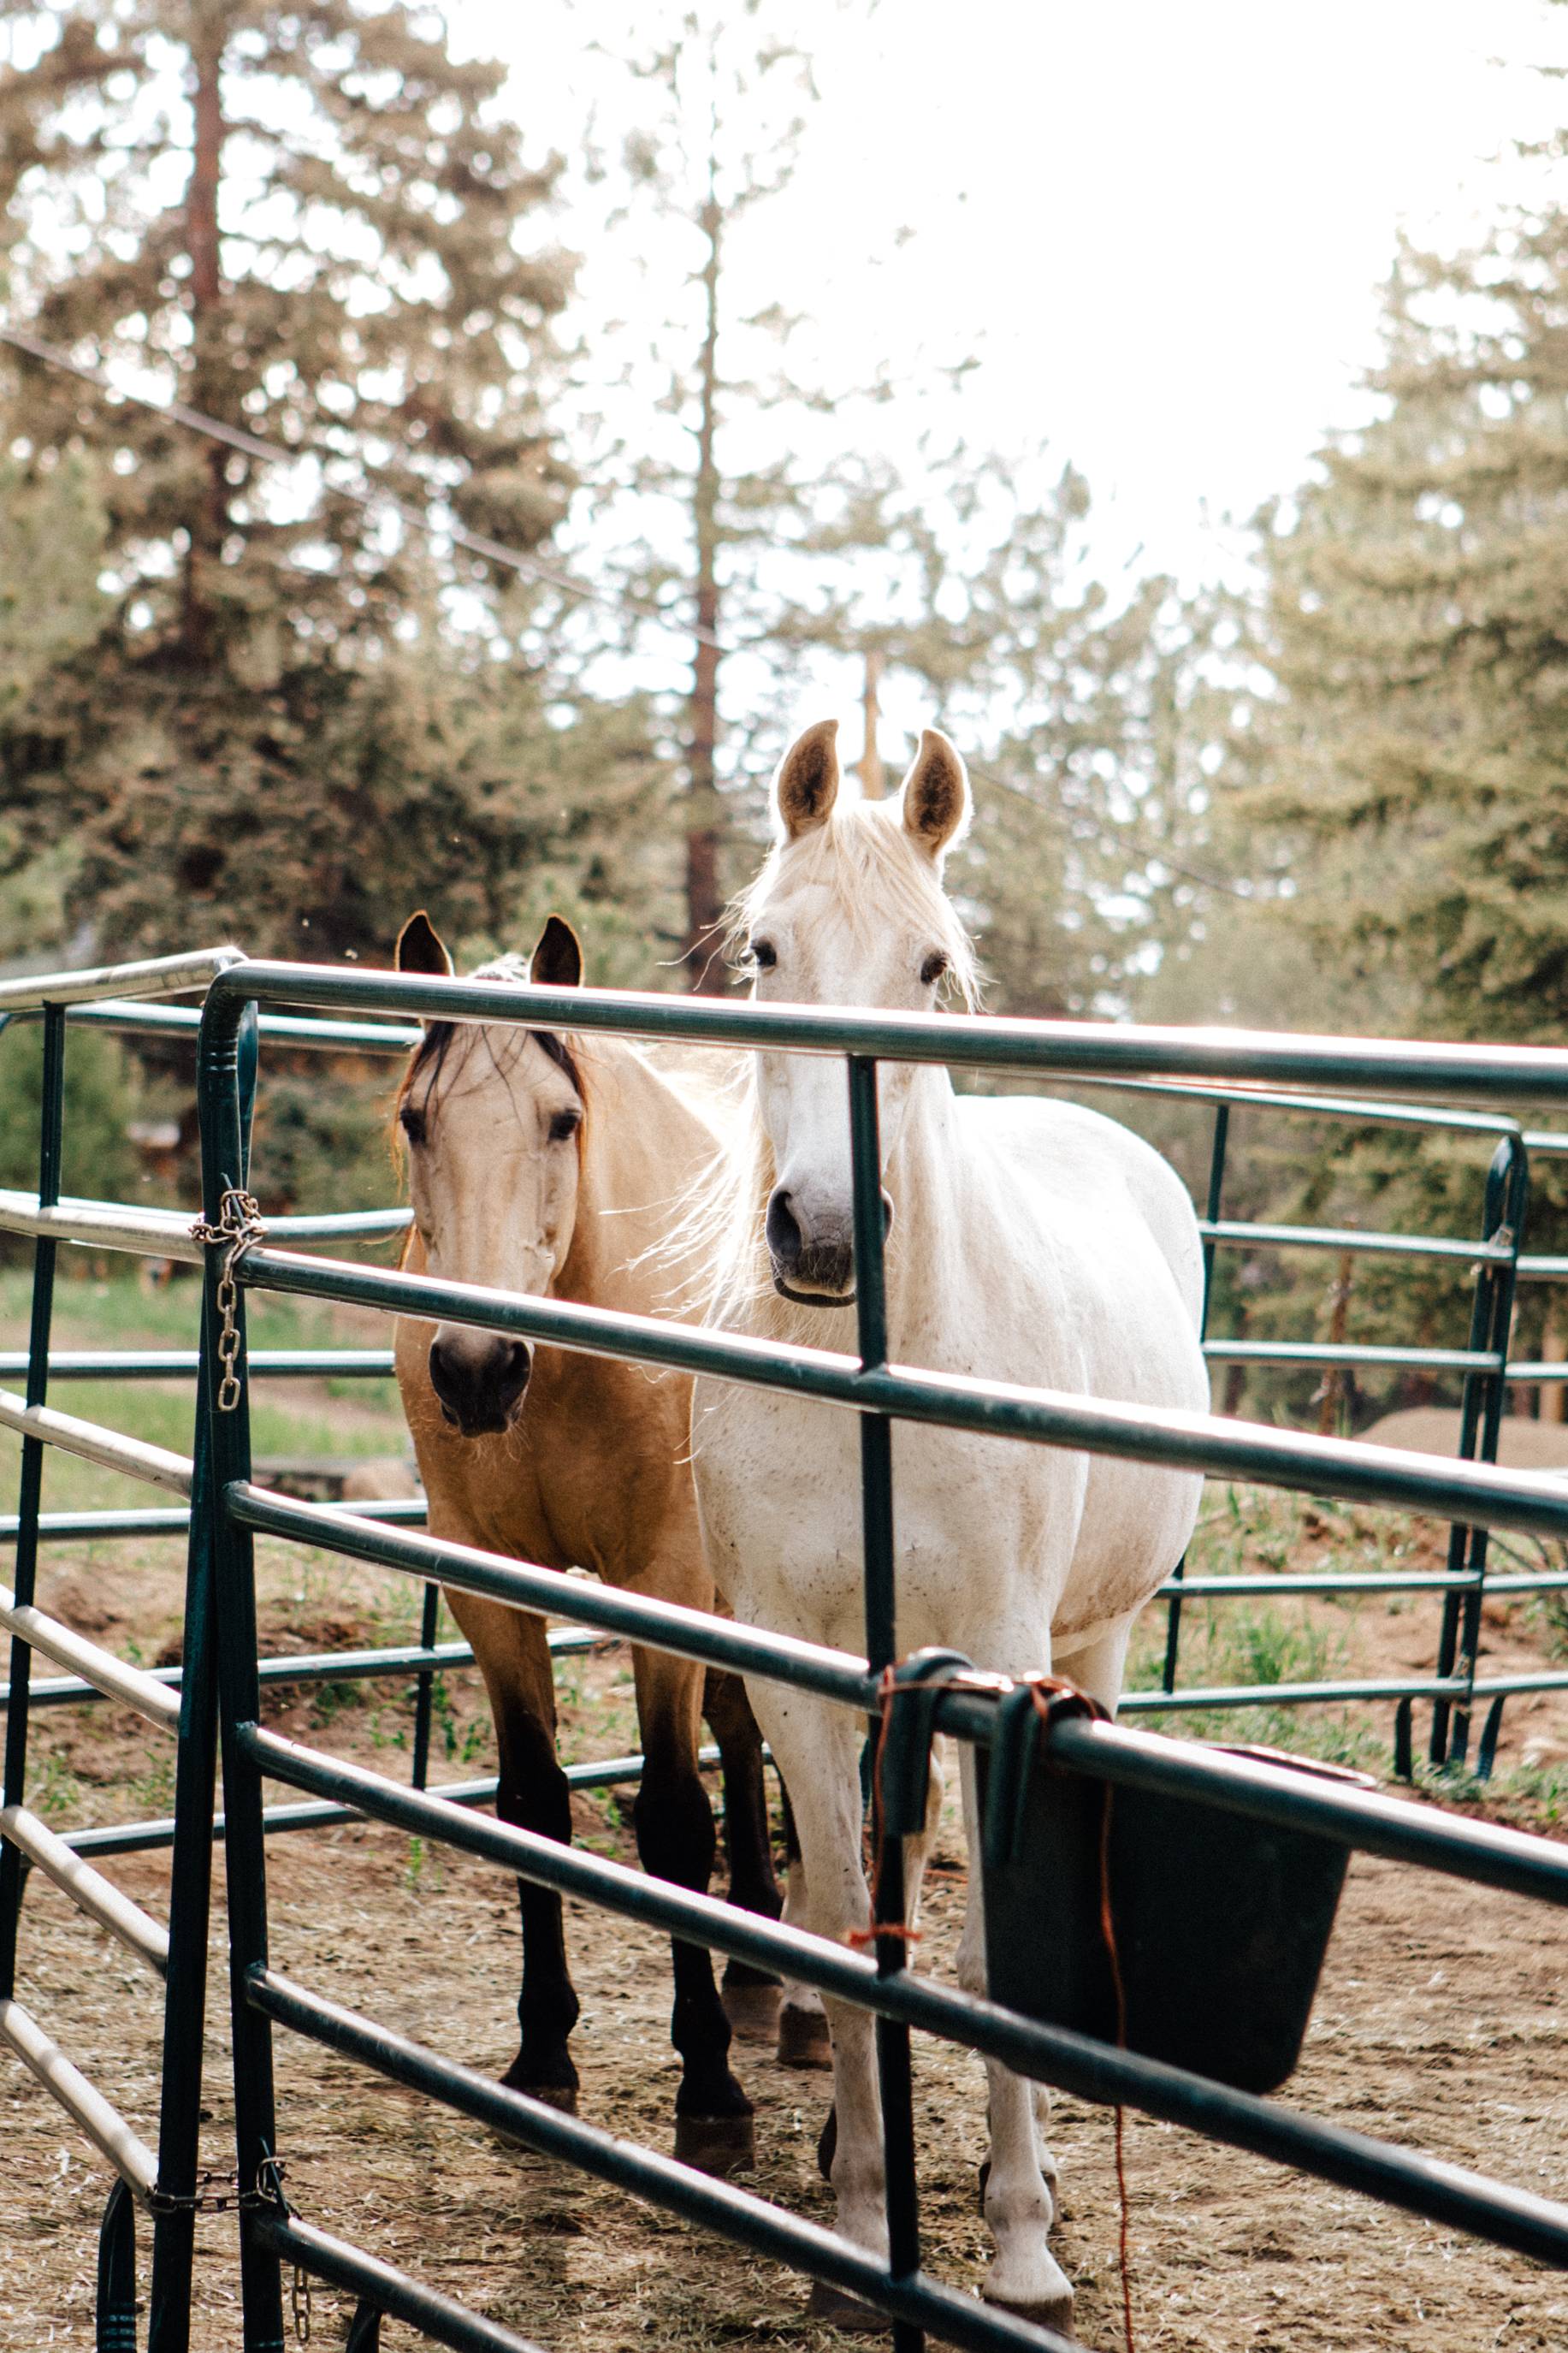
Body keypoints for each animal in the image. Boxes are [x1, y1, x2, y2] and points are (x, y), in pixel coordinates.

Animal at [389, 909, 782, 2175]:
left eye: (562, 1119)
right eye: (417, 1119)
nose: (475, 1368)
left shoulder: (662, 1581)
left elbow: (670, 1821)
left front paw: (708, 2084)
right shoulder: (492, 1585)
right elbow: (535, 1803)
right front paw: (542, 2054)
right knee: (747, 1726)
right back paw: (763, 1964)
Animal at [689, 720, 1208, 2329]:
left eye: (927, 965)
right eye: (766, 950)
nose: (822, 1232)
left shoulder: (1002, 1655)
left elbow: (986, 1952)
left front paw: (1021, 2240)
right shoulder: (795, 1664)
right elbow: (850, 1924)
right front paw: (865, 2222)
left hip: (1094, 1640)